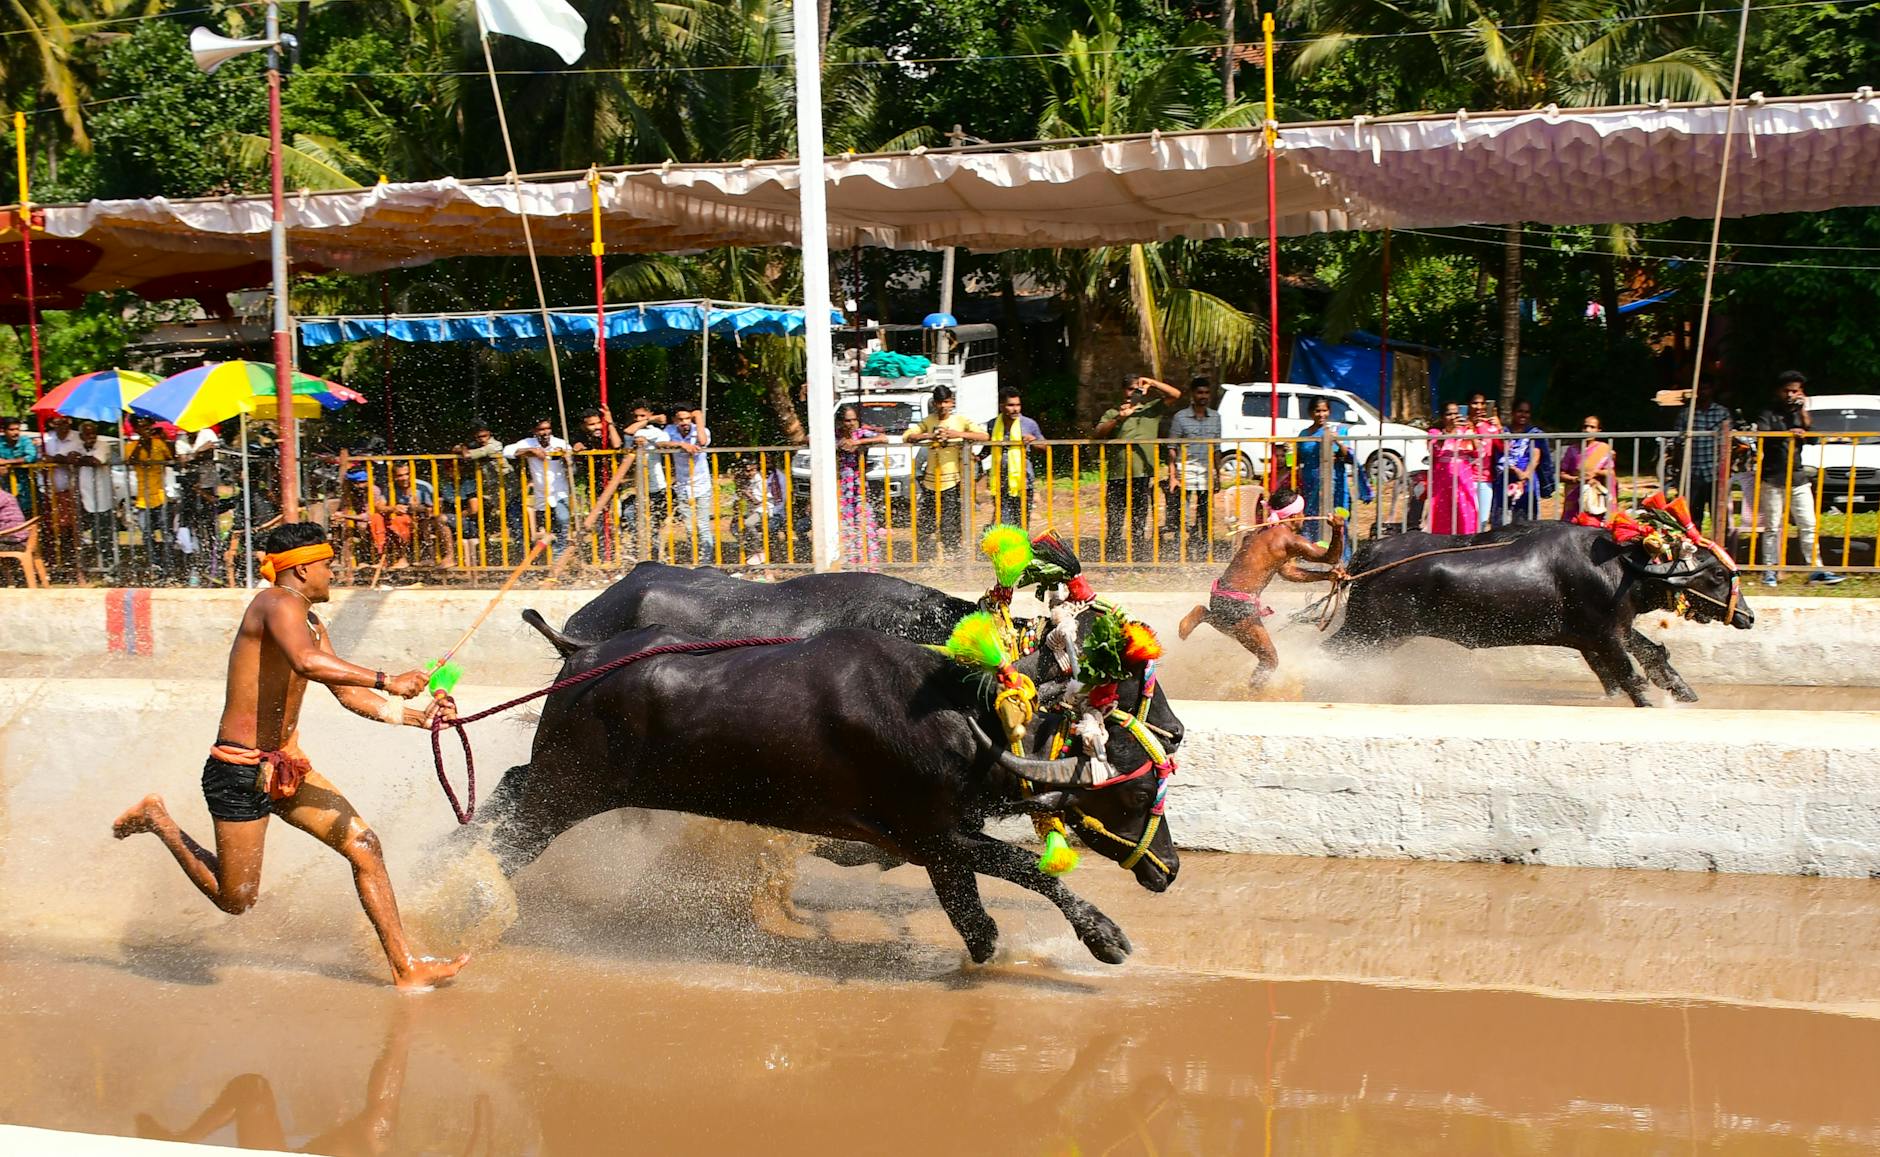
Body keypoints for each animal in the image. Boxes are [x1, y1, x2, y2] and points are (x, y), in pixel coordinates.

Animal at [477, 620, 1180, 963]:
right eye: (1137, 795)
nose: (1170, 869)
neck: (967, 718)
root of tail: (581, 651)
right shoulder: (932, 834)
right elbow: (1028, 870)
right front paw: (1104, 937)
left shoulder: (937, 846)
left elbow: (974, 920)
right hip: (563, 793)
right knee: (509, 834)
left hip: (554, 785)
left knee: (502, 795)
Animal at [1331, 523, 1752, 707]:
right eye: (1717, 573)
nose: (1748, 616)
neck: (1623, 567)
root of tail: (1370, 552)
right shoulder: (1606, 635)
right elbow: (1629, 674)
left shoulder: (1607, 632)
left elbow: (1651, 655)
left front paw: (1683, 690)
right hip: (1369, 630)